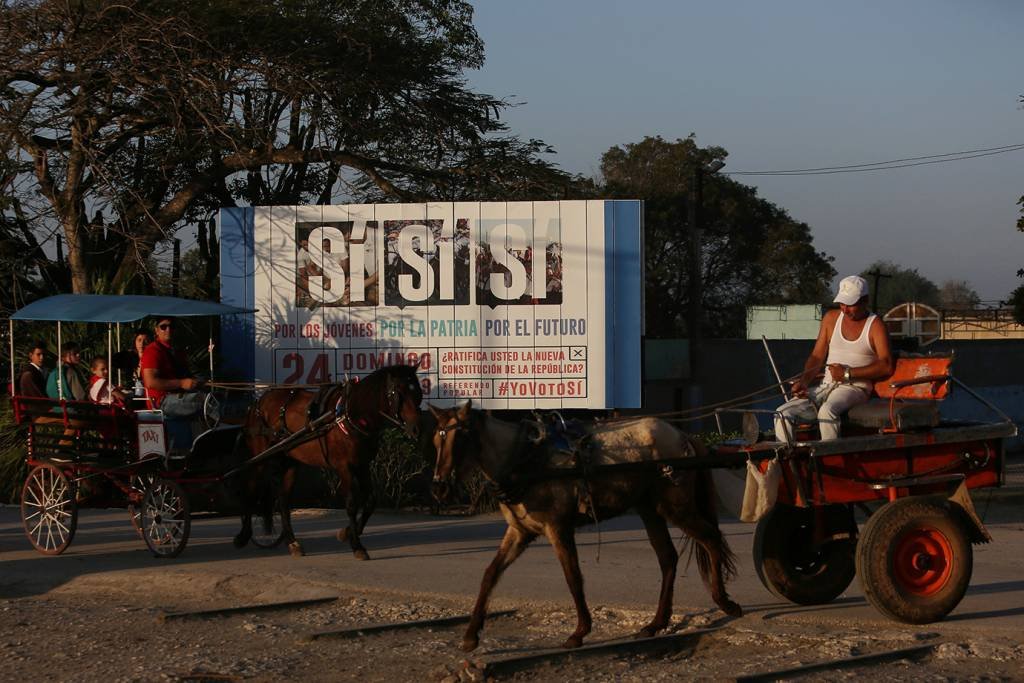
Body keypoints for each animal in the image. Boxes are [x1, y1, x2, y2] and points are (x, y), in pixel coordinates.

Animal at [235, 366, 419, 557]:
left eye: (417, 391)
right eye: (398, 393)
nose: (415, 427)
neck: (349, 415)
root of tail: (258, 402)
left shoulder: (362, 465)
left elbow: (370, 500)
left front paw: (347, 532)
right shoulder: (344, 467)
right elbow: (352, 503)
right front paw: (356, 545)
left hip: (289, 461)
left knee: (283, 499)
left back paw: (292, 542)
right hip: (260, 457)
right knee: (250, 488)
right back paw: (243, 536)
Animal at [428, 403, 741, 655]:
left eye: (460, 437)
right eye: (435, 439)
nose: (439, 487)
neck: (524, 459)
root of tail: (682, 435)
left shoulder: (558, 528)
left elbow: (573, 577)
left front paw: (579, 632)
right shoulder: (520, 532)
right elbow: (490, 574)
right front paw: (471, 636)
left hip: (676, 508)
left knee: (711, 539)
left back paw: (724, 601)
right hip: (649, 509)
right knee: (668, 558)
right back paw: (656, 623)